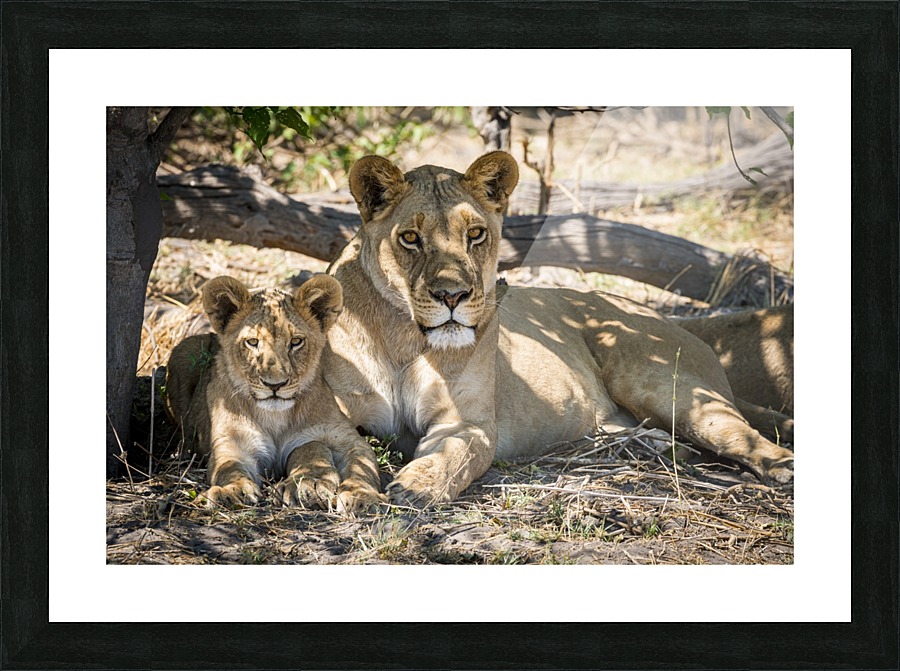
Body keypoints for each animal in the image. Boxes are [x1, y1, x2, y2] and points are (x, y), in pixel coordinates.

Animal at [164, 274, 384, 511]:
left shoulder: (346, 438)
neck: (276, 418)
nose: (275, 385)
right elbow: (229, 468)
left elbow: (361, 468)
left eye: (296, 342)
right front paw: (231, 492)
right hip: (185, 349)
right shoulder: (233, 443)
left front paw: (362, 496)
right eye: (252, 342)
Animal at [321, 151, 795, 509]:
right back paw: (657, 446)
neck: (405, 336)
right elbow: (351, 450)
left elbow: (454, 456)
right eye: (410, 238)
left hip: (664, 386)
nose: (452, 295)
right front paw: (354, 491)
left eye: (475, 233)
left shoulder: (468, 422)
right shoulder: (335, 414)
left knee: (745, 436)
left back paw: (782, 467)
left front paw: (418, 485)